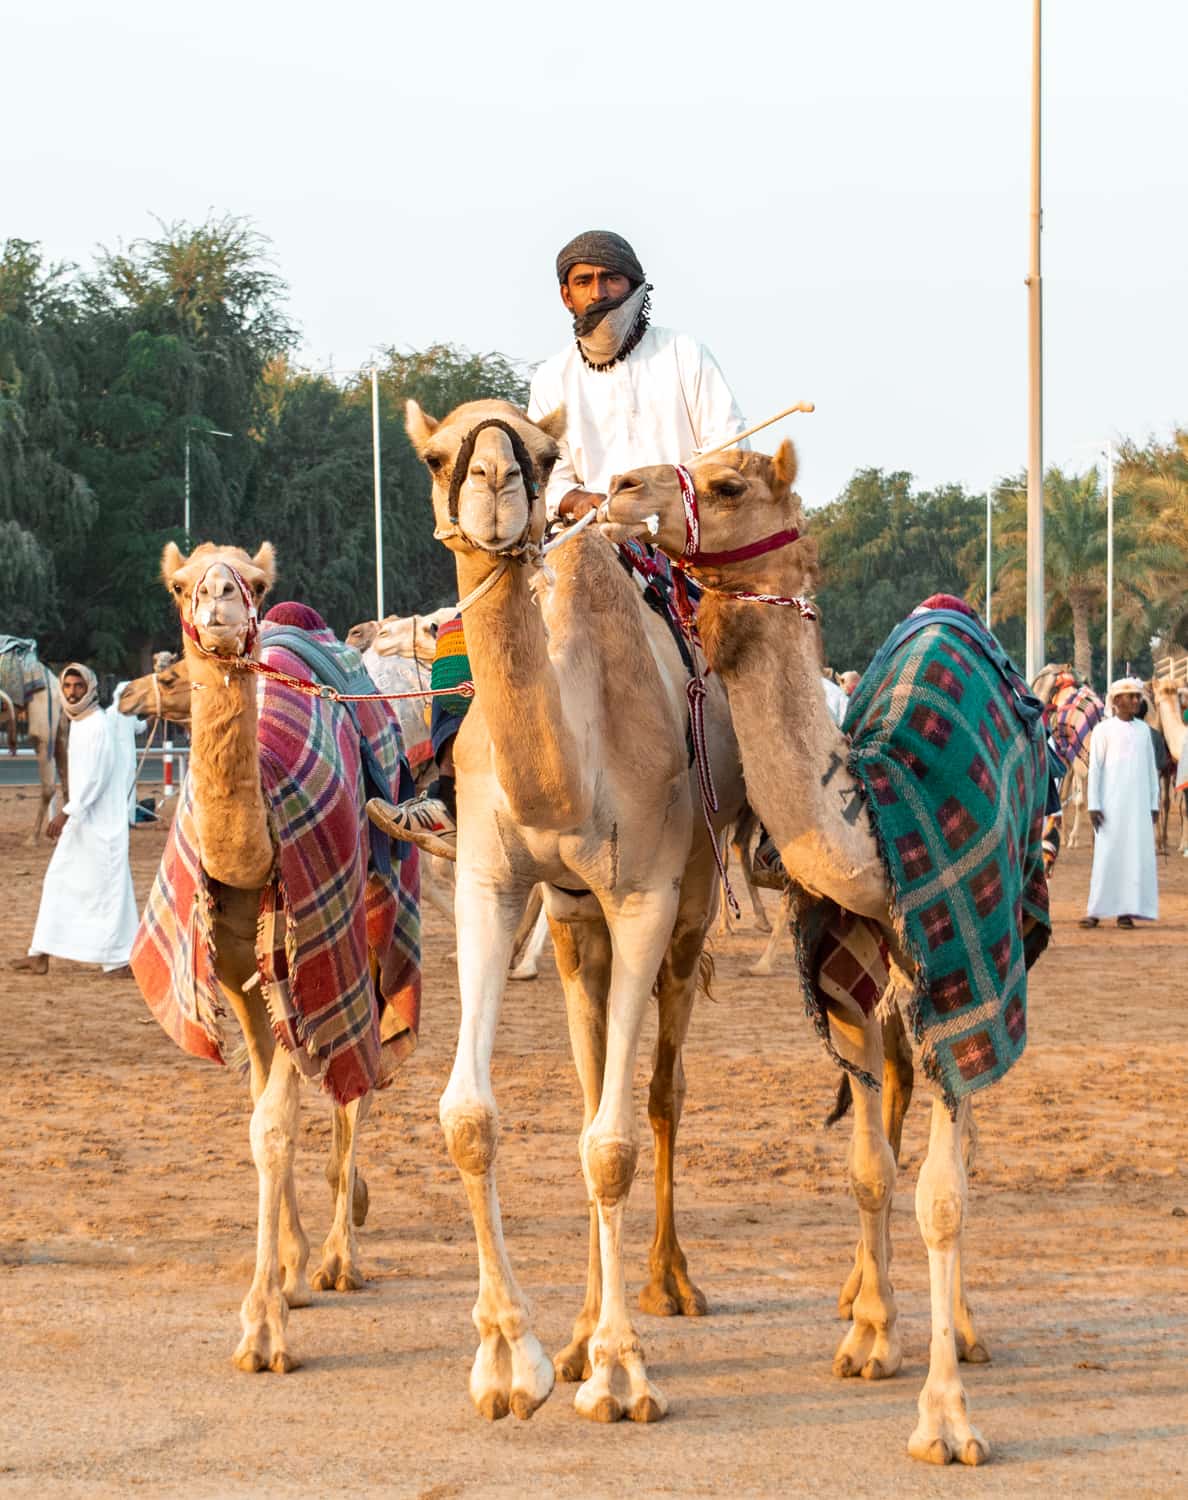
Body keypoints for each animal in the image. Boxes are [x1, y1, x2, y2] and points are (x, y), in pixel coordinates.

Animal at [603, 444, 1050, 1464]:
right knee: (887, 1119)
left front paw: (946, 1417)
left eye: (728, 483)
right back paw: (861, 1302)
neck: (876, 830)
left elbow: (942, 1194)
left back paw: (964, 1327)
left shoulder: (961, 971)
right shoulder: (845, 987)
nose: (618, 489)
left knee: (958, 1138)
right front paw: (870, 1339)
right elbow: (867, 1170)